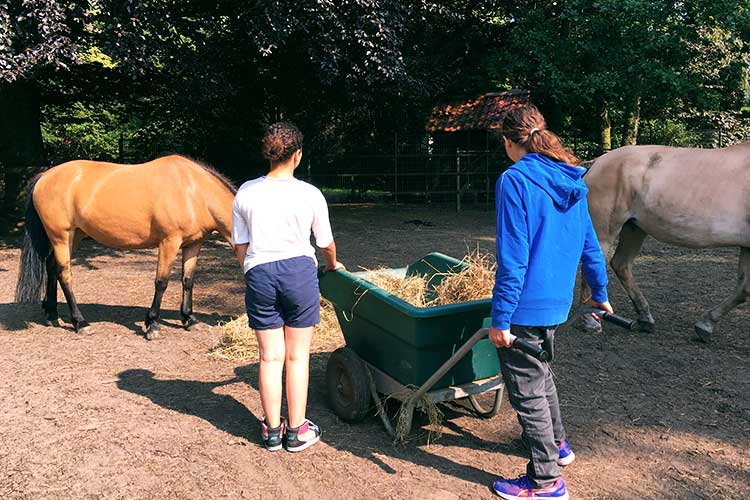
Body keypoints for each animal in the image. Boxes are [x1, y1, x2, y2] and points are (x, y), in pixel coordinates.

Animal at [15, 154, 238, 338]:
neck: (193, 191)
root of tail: (44, 176)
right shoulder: (169, 242)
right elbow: (161, 282)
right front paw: (153, 325)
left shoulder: (193, 244)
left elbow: (188, 280)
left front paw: (190, 320)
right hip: (61, 236)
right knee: (64, 274)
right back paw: (80, 322)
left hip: (74, 236)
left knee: (52, 267)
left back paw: (52, 314)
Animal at [584, 145, 750, 340]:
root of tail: (597, 162)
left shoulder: (747, 247)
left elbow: (743, 289)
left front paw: (706, 325)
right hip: (605, 232)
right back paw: (590, 321)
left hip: (634, 229)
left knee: (620, 264)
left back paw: (645, 318)